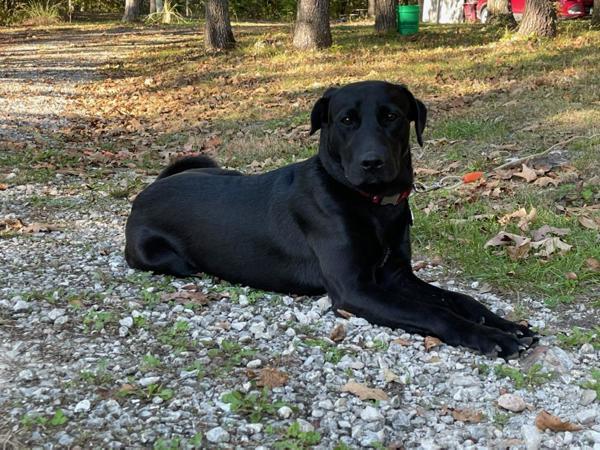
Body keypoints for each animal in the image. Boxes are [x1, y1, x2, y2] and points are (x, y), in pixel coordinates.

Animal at [125, 79, 536, 356]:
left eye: (392, 116)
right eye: (346, 120)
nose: (372, 163)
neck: (373, 205)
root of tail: (147, 190)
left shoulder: (397, 275)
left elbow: (459, 299)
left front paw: (505, 324)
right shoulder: (355, 289)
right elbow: (436, 313)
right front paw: (491, 337)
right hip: (163, 257)